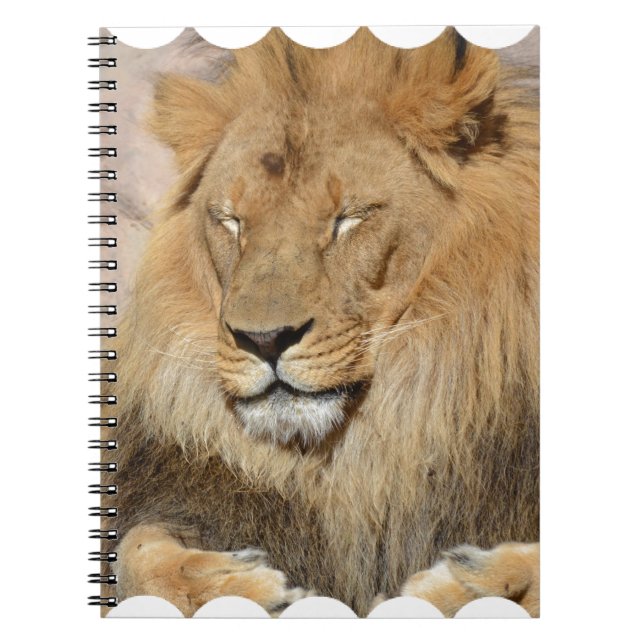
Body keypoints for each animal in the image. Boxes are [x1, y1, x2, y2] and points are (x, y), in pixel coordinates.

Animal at [104, 27, 539, 617]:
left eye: (348, 219)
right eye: (232, 222)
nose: (264, 340)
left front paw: (465, 585)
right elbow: (135, 552)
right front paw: (227, 586)